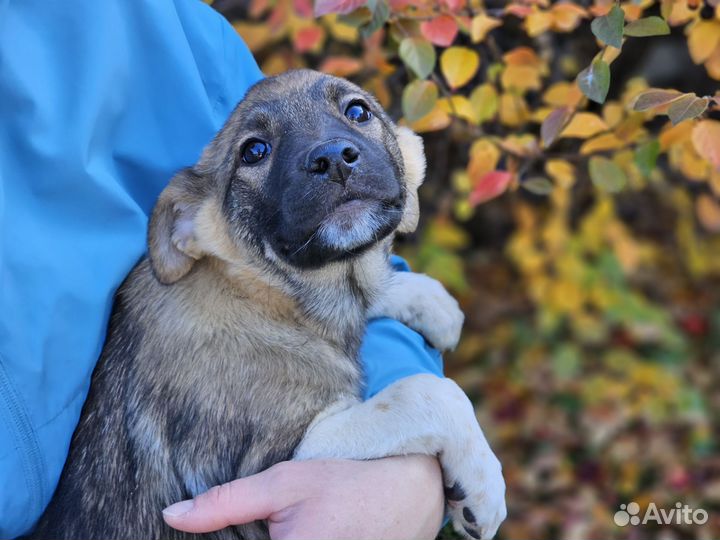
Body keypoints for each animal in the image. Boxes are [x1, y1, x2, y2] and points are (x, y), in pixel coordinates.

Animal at [32, 69, 506, 540]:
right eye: (254, 151)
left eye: (358, 111)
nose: (333, 159)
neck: (263, 293)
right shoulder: (276, 456)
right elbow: (424, 392)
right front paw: (483, 488)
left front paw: (432, 302)